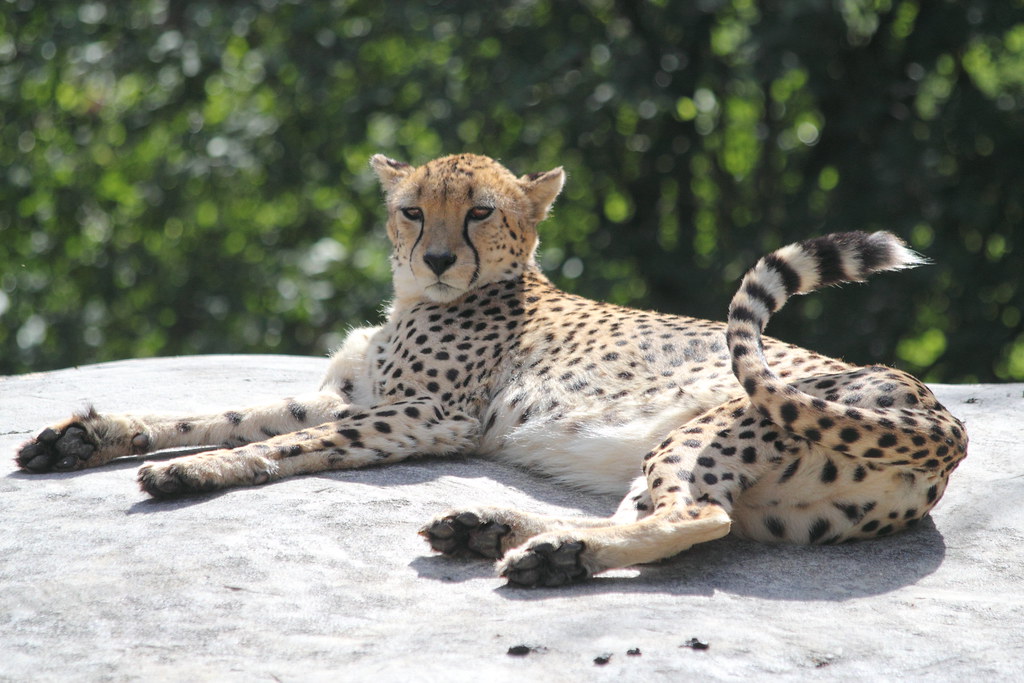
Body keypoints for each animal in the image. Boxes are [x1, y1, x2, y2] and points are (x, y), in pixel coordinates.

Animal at [16, 153, 968, 587]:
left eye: (479, 212)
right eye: (412, 210)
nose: (437, 258)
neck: (421, 297)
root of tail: (940, 415)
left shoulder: (429, 415)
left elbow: (282, 443)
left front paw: (191, 473)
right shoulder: (352, 392)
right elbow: (228, 412)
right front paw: (89, 436)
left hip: (711, 424)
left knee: (697, 518)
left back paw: (542, 551)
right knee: (689, 519)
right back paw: (501, 531)